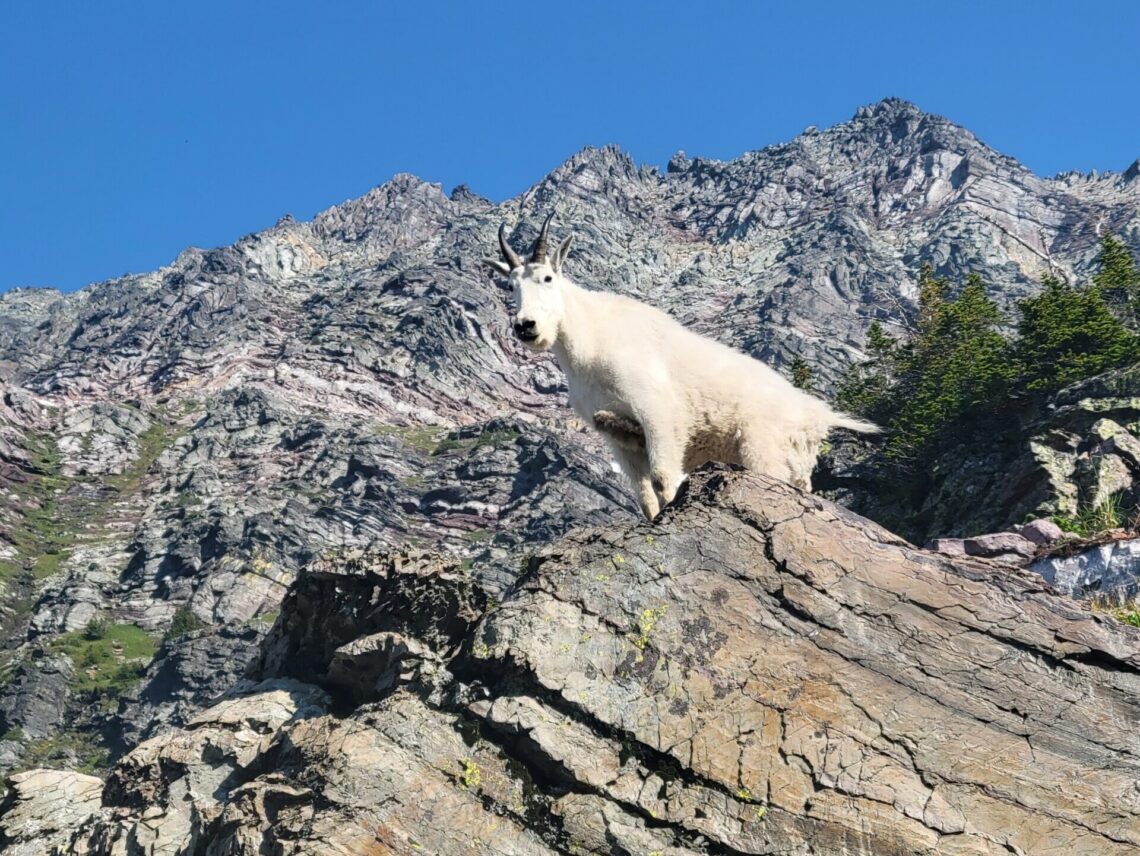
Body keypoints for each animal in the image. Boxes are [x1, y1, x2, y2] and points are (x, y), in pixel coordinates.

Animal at [484, 215, 879, 519]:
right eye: (510, 285)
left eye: (548, 278)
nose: (526, 326)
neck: (589, 343)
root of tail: (816, 415)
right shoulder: (615, 434)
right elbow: (644, 496)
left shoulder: (656, 410)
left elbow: (663, 477)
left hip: (764, 448)